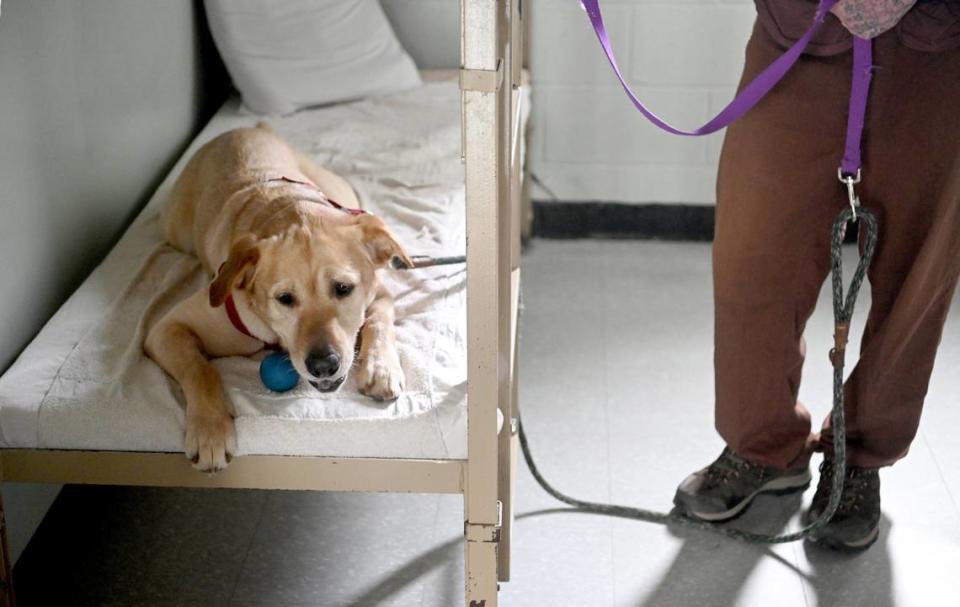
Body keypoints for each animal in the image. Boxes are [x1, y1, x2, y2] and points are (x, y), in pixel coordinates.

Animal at [145, 123, 408, 472]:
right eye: (285, 298)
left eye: (343, 289)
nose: (324, 366)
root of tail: (245, 128)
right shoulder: (168, 328)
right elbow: (200, 369)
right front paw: (210, 429)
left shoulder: (379, 294)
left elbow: (379, 323)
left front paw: (381, 368)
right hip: (176, 231)